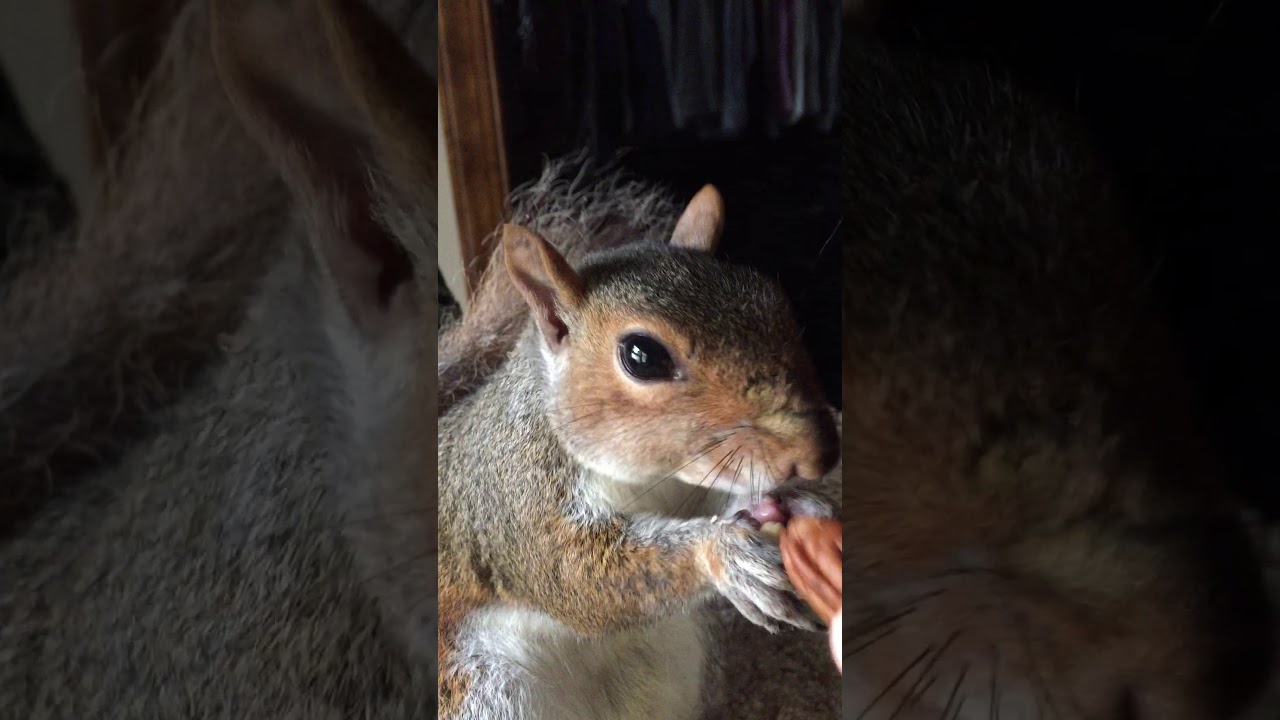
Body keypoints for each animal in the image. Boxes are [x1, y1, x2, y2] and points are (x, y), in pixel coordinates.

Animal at [437, 185, 840, 718]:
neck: (651, 481)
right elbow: (579, 576)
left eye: (774, 302)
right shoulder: (519, 497)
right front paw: (725, 552)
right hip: (477, 692)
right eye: (642, 356)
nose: (818, 454)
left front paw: (791, 500)